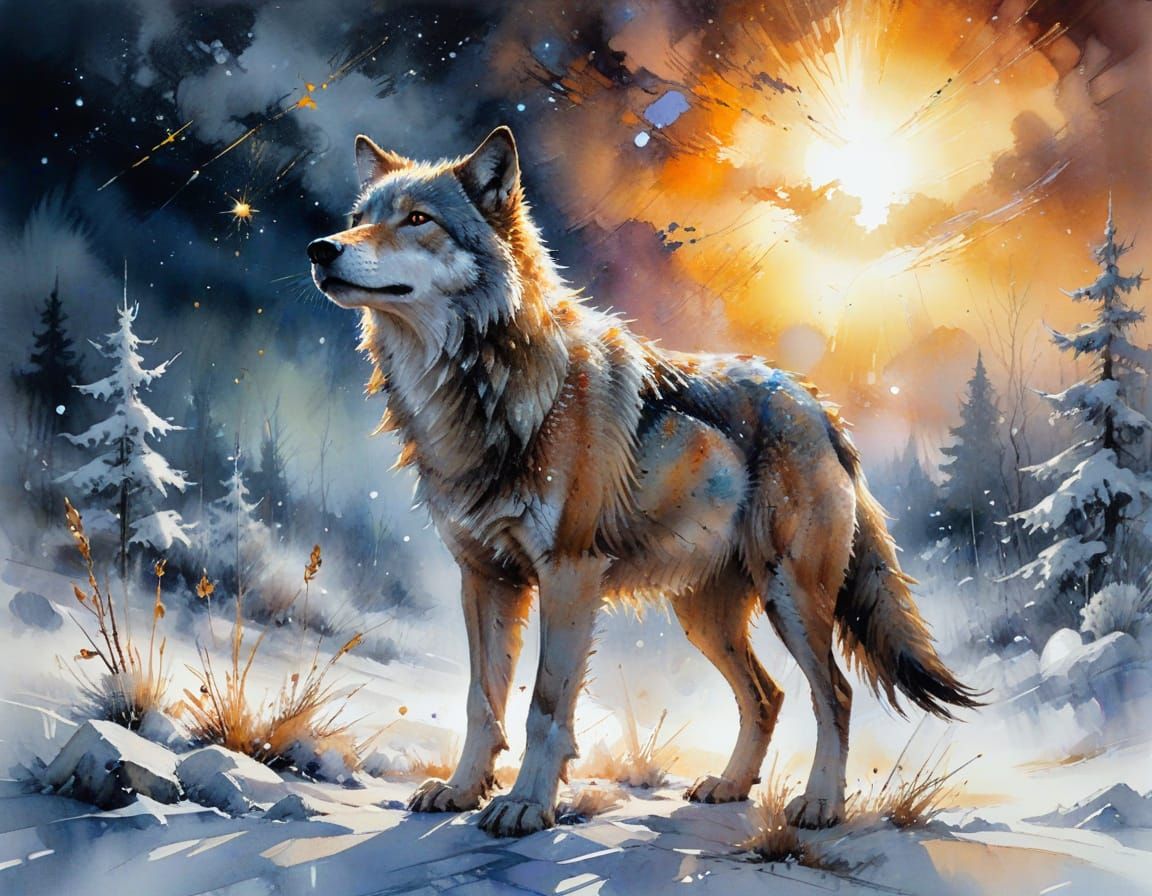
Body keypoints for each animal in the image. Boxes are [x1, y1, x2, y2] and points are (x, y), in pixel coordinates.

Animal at [308, 126, 979, 838]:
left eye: (417, 220)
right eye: (359, 217)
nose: (321, 249)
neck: (485, 391)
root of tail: (818, 404)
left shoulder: (569, 574)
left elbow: (546, 705)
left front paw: (525, 804)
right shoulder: (484, 578)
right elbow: (480, 701)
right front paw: (462, 791)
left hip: (791, 597)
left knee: (837, 694)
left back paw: (822, 804)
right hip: (705, 616)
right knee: (767, 695)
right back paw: (729, 786)